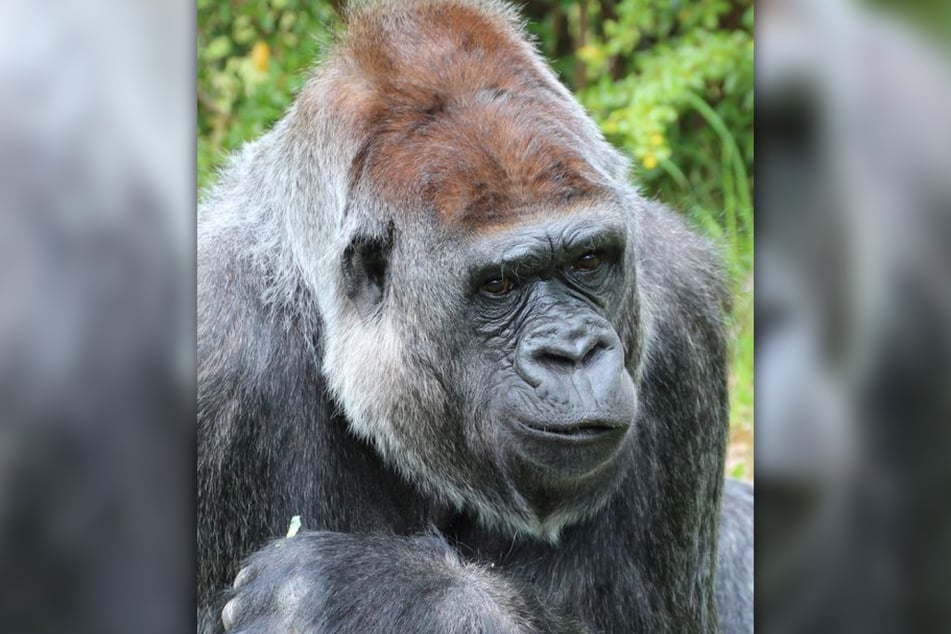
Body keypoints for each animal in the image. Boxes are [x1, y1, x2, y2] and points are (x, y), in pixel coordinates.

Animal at [197, 1, 753, 632]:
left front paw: (373, 592)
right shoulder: (220, 354)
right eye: (499, 285)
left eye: (588, 261)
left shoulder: (683, 311)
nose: (573, 353)